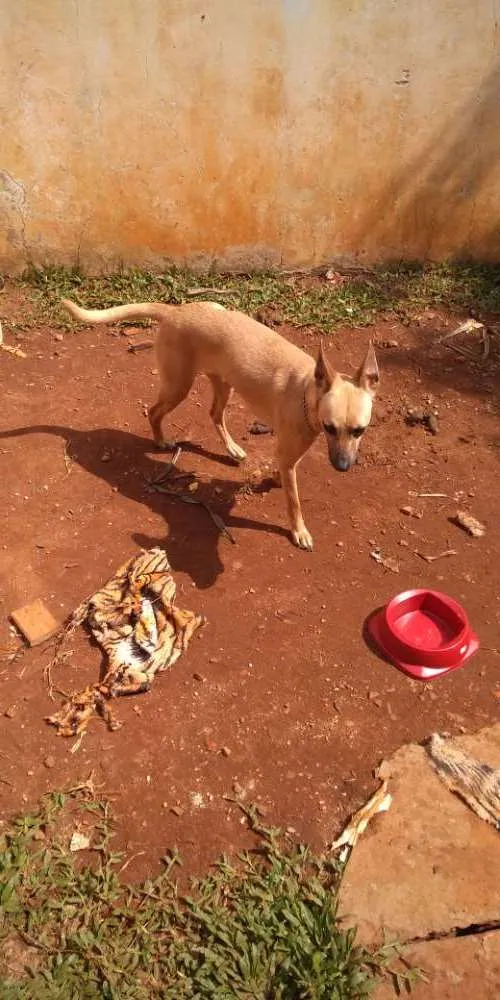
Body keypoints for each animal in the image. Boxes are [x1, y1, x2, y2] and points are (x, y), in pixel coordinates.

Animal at [61, 298, 378, 548]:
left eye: (359, 431)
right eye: (330, 427)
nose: (343, 467)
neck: (306, 390)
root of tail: (175, 311)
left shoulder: (289, 451)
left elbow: (284, 473)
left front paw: (276, 480)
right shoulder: (290, 451)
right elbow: (294, 501)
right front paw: (299, 531)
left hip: (223, 383)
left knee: (214, 415)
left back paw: (231, 449)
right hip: (178, 386)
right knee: (153, 412)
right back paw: (161, 441)